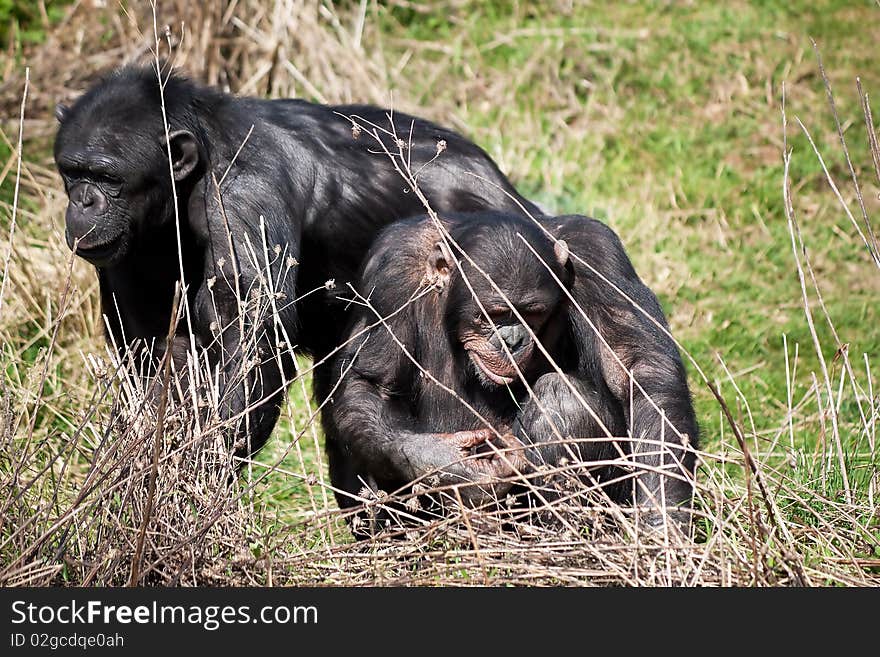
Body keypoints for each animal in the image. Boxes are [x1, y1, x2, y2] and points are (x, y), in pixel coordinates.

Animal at [55, 64, 540, 458]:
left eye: (108, 177)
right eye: (71, 172)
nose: (84, 201)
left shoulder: (244, 199)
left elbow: (249, 345)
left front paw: (194, 475)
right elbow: (156, 350)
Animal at [324, 210, 700, 532]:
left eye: (531, 313)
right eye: (491, 314)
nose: (512, 339)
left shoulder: (597, 254)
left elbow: (639, 369)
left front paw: (662, 527)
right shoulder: (392, 268)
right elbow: (371, 385)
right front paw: (449, 465)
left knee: (562, 401)